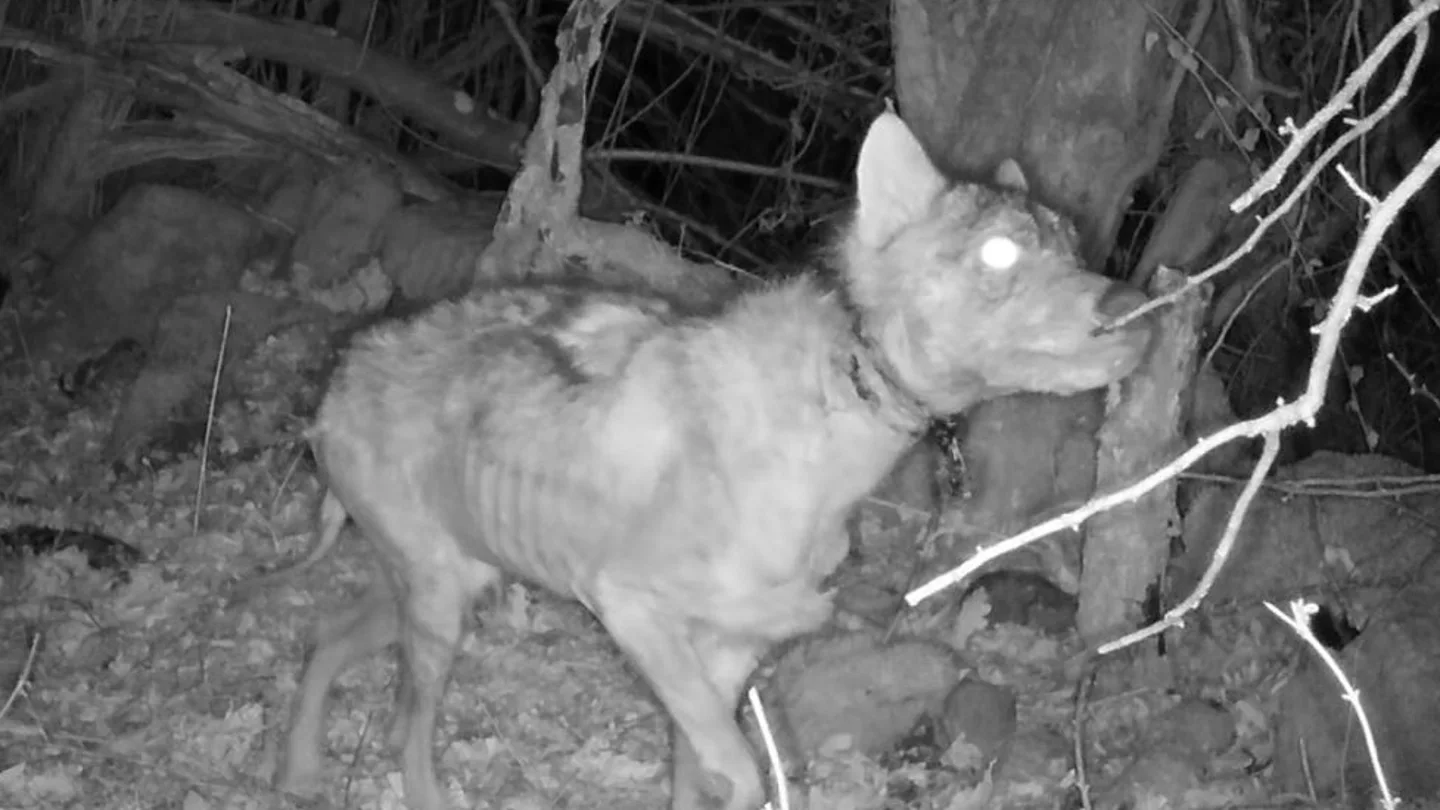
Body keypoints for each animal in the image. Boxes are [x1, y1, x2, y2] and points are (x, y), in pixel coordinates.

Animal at [274, 111, 1153, 810]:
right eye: (1000, 255)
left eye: (1075, 245)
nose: (1138, 307)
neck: (830, 449)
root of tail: (332, 384)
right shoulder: (631, 607)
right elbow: (742, 773)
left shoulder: (732, 649)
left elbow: (698, 778)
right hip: (436, 602)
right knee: (407, 734)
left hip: (440, 589)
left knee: (325, 637)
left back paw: (299, 774)